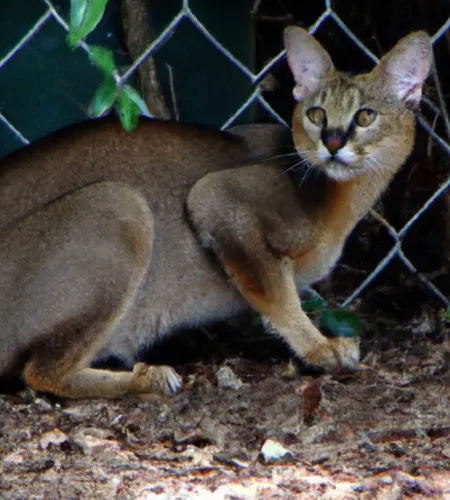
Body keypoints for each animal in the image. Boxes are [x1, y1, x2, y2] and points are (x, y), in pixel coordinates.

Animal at [0, 27, 430, 396]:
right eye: (317, 114)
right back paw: (147, 378)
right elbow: (276, 293)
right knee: (42, 372)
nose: (334, 142)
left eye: (365, 115)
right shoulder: (216, 197)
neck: (340, 199)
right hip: (117, 203)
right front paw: (319, 347)